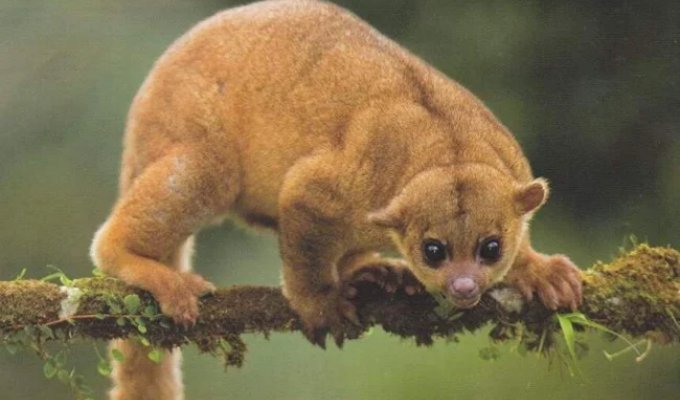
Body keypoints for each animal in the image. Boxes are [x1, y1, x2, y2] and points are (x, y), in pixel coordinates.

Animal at [90, 0, 582, 398]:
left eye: (491, 248)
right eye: (434, 251)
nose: (464, 287)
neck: (448, 151)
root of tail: (143, 108)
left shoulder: (513, 166)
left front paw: (538, 269)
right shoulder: (344, 185)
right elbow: (301, 204)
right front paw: (319, 304)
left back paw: (369, 270)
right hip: (182, 123)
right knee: (205, 176)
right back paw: (138, 263)